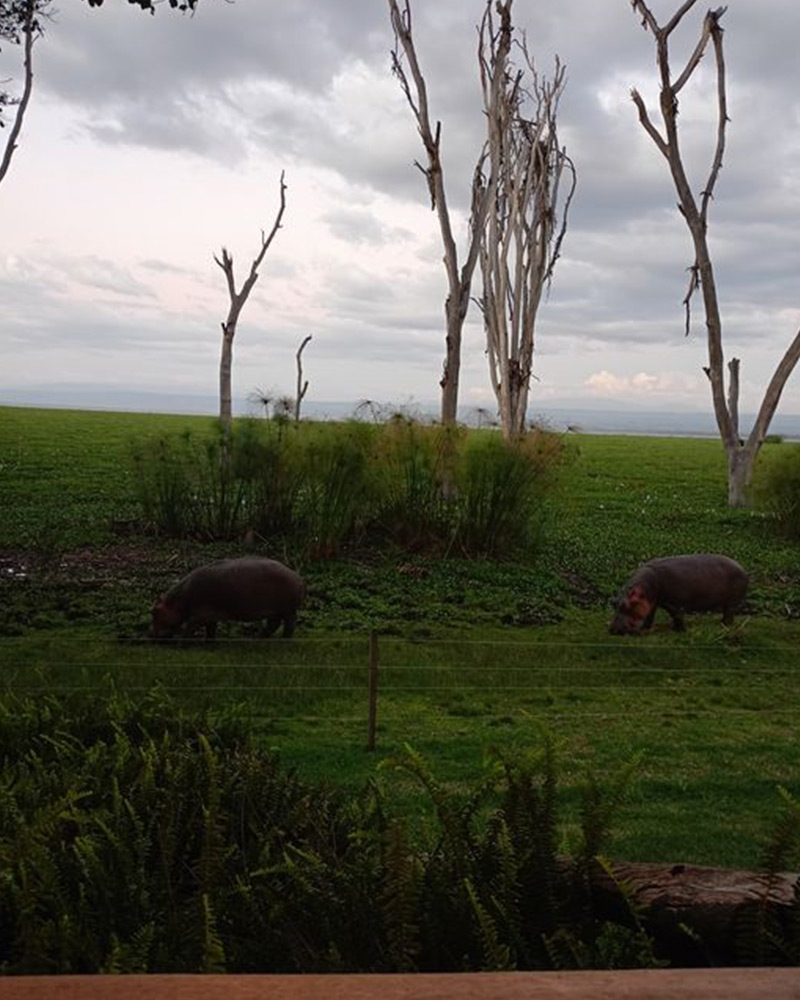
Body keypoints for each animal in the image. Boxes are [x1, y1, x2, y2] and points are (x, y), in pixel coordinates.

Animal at [151, 556, 305, 640]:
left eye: (154, 611)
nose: (150, 635)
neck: (178, 601)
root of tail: (297, 576)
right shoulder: (210, 616)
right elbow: (211, 630)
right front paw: (210, 644)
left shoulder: (198, 616)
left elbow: (188, 629)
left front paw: (182, 645)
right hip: (276, 610)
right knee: (274, 624)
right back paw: (258, 638)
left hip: (288, 610)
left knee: (289, 625)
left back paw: (283, 639)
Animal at [609, 554, 748, 635]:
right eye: (615, 603)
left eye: (626, 605)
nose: (614, 630)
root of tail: (742, 568)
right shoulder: (653, 602)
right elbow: (649, 615)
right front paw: (646, 628)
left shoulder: (674, 604)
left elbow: (677, 616)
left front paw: (680, 631)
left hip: (731, 602)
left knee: (729, 614)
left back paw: (724, 625)